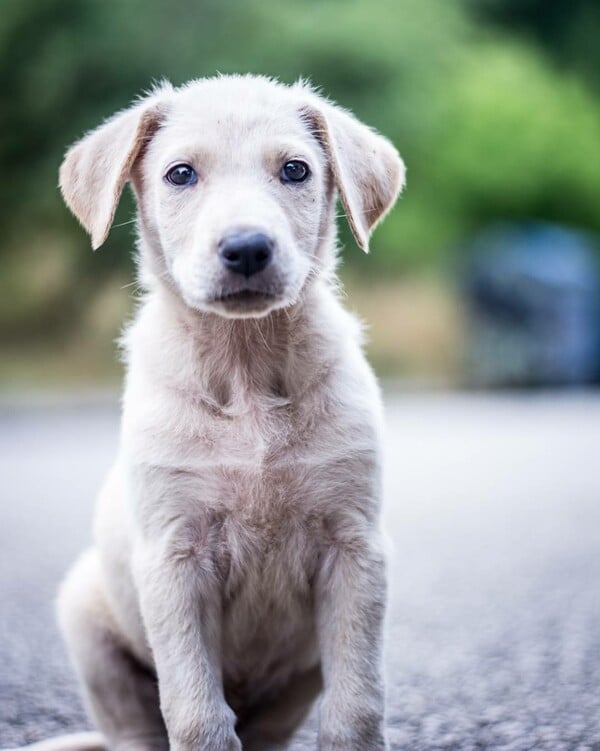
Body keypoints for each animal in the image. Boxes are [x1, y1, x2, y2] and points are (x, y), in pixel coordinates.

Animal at [37, 75, 406, 751]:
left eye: (295, 169)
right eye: (181, 173)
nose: (247, 248)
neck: (246, 371)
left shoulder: (356, 549)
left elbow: (357, 706)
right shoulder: (173, 558)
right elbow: (196, 714)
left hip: (298, 676)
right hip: (87, 621)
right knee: (138, 729)